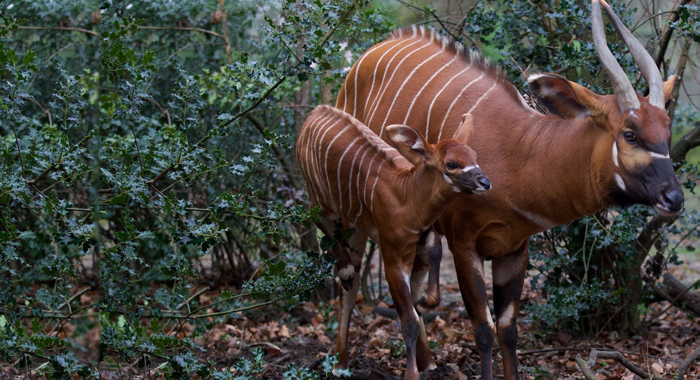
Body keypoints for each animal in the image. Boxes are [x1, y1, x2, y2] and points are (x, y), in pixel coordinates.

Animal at [296, 104, 492, 380]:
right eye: (452, 164)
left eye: (474, 156)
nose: (484, 182)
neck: (407, 196)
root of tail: (315, 112)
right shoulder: (392, 257)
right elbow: (408, 320)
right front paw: (412, 374)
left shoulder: (425, 239)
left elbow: (427, 285)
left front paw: (427, 314)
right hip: (323, 204)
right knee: (323, 232)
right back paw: (339, 361)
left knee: (353, 284)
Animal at [336, 1, 688, 378]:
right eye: (630, 133)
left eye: (667, 130)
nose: (674, 198)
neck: (522, 152)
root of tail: (367, 56)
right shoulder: (464, 245)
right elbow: (484, 329)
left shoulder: (515, 249)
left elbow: (508, 329)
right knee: (350, 276)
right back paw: (340, 361)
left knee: (412, 283)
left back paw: (427, 361)